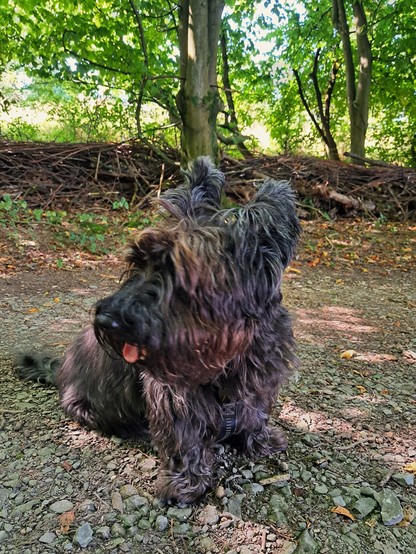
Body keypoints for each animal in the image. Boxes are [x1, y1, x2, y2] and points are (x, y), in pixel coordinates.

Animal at [16, 157, 300, 502]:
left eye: (179, 271)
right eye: (137, 262)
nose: (105, 321)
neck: (229, 359)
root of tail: (58, 370)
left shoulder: (261, 381)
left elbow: (255, 413)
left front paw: (260, 441)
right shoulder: (173, 397)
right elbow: (185, 441)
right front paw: (186, 483)